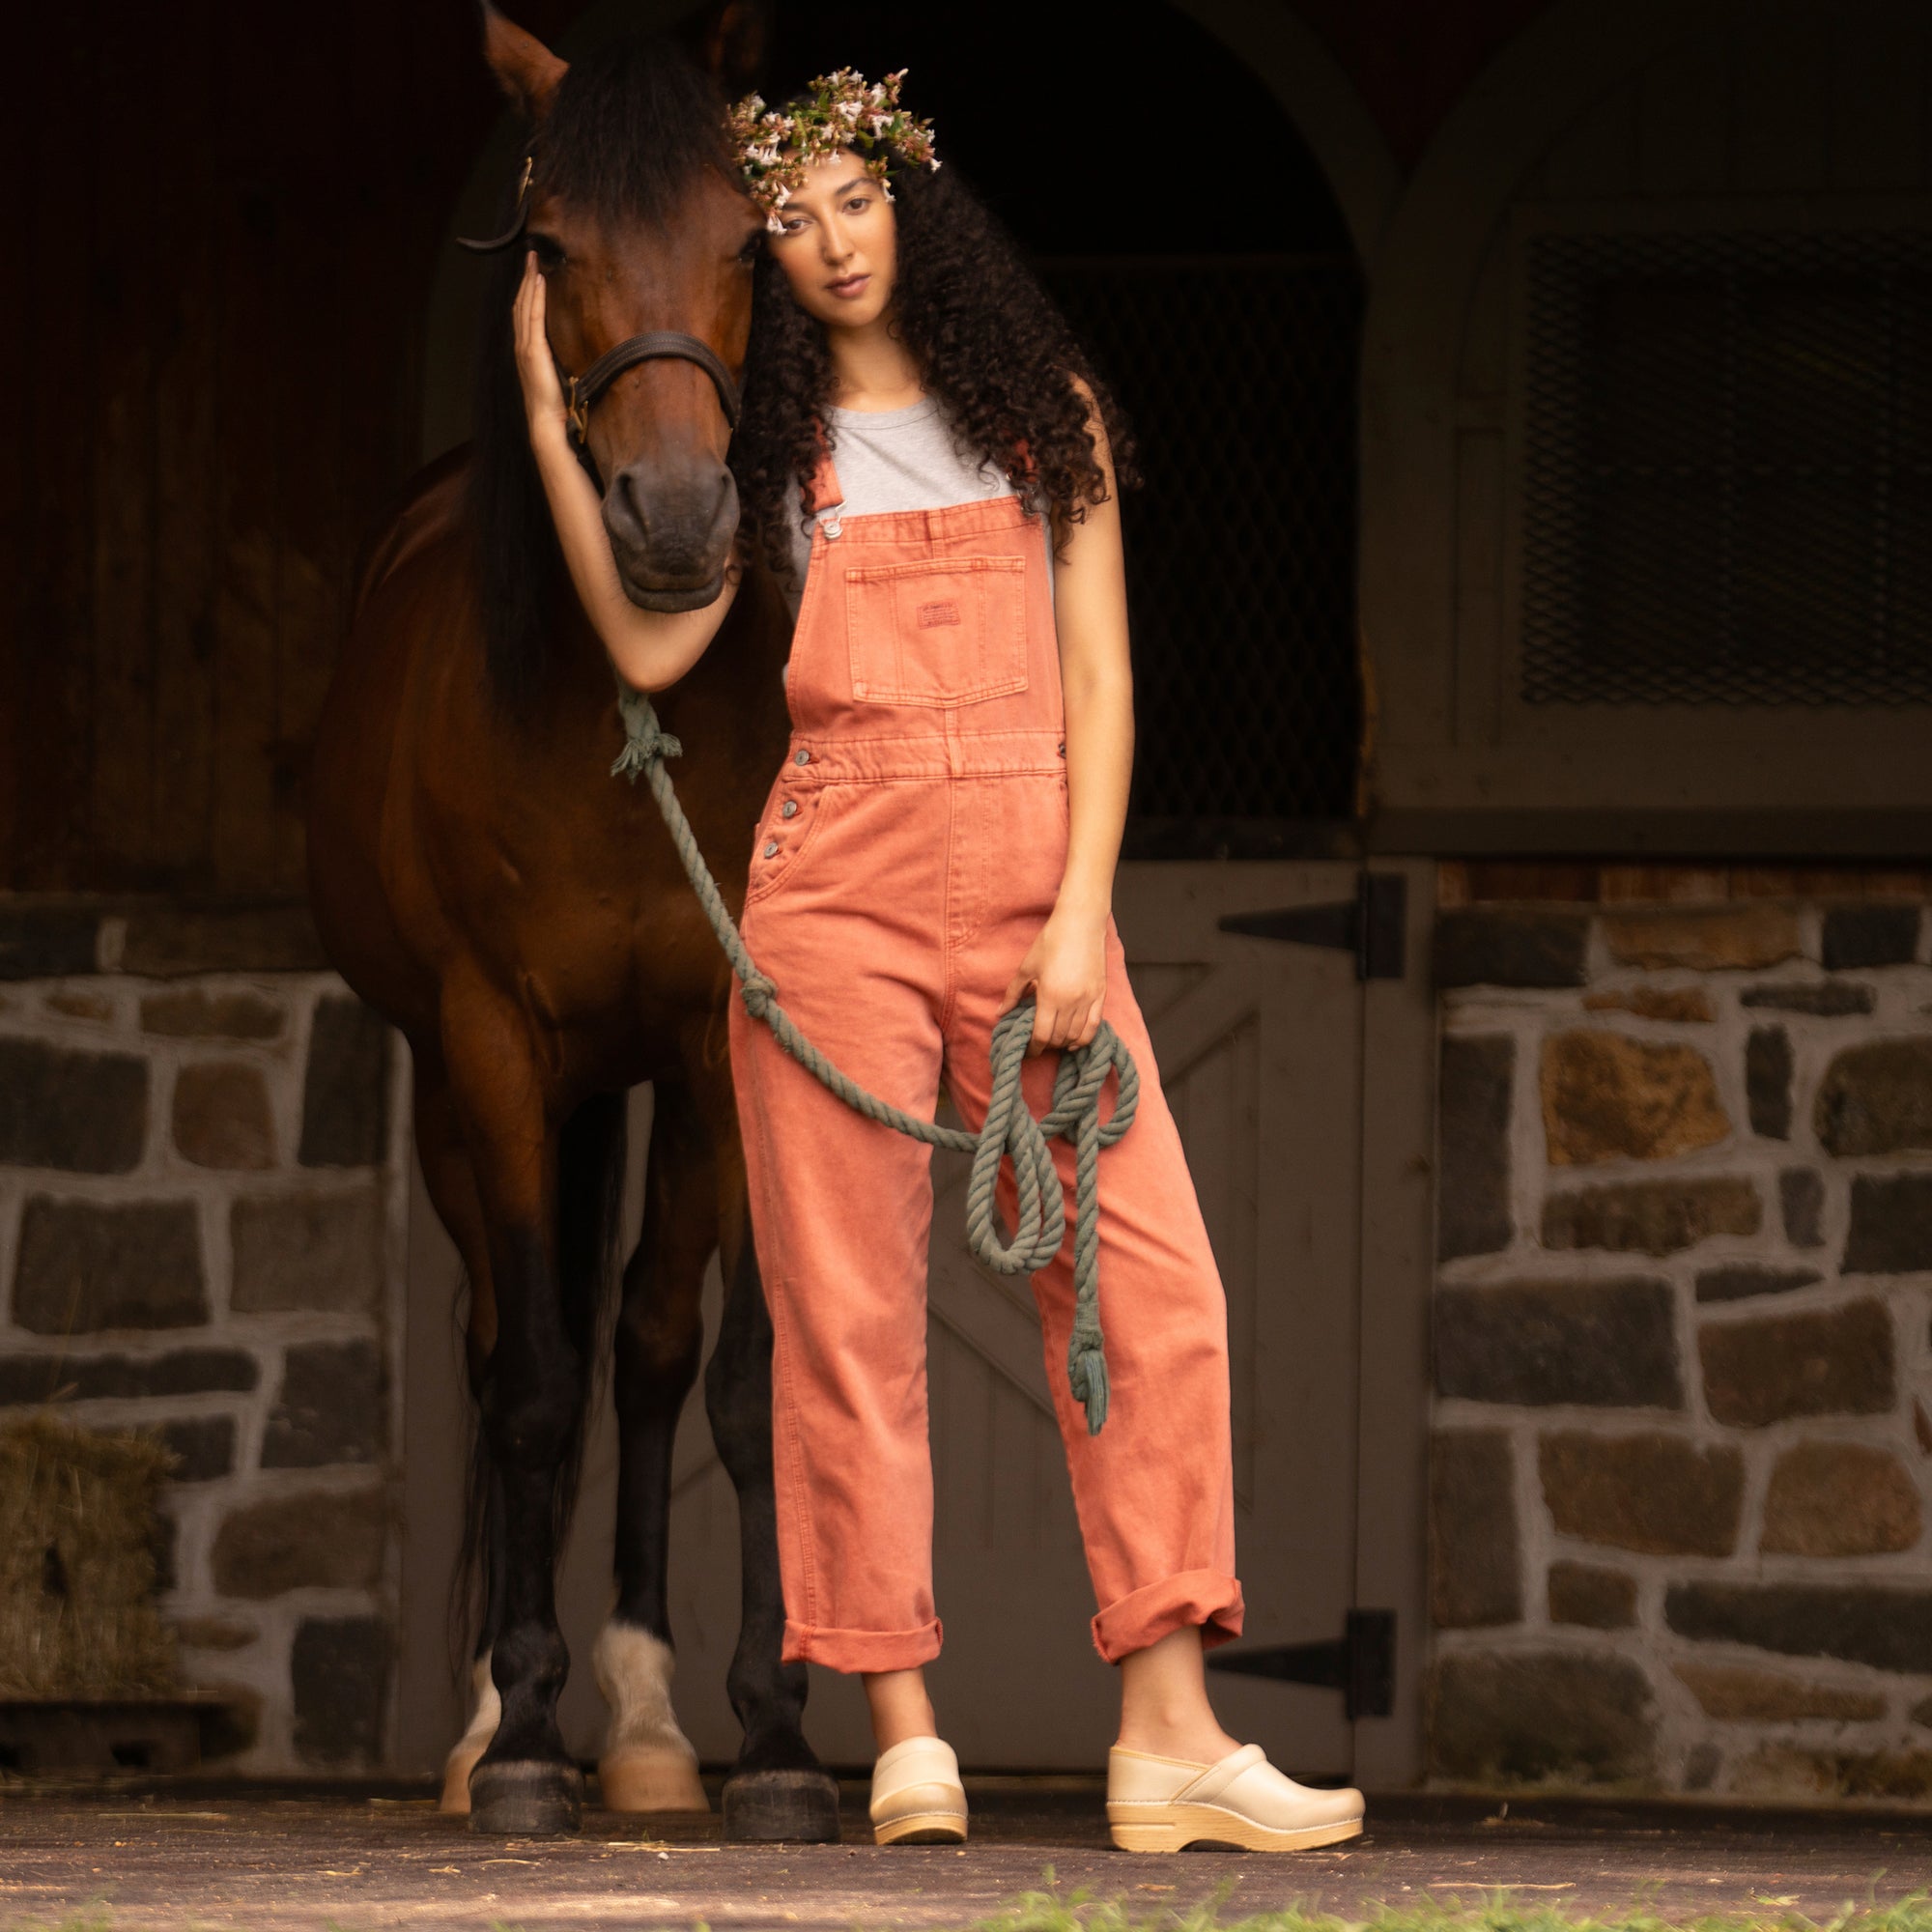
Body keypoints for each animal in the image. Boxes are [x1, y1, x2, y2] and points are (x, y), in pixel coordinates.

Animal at [305, 3, 835, 1839]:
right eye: (547, 247)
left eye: (749, 239)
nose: (673, 521)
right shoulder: (492, 1040)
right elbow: (531, 1382)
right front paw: (527, 1736)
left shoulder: (727, 1038)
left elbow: (729, 1377)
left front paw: (771, 1742)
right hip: (477, 1107)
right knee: (496, 1345)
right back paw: (491, 1725)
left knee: (652, 1347)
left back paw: (655, 1724)